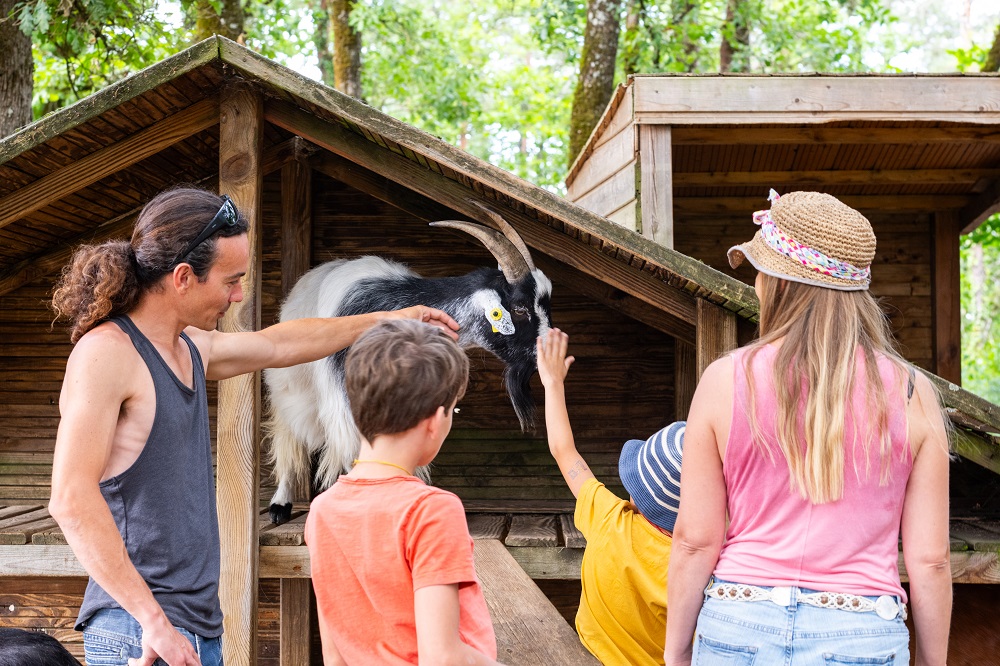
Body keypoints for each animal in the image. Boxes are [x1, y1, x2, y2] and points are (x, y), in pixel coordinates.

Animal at [262, 208, 552, 524]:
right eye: (520, 308)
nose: (550, 351)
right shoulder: (345, 406)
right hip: (291, 388)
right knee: (288, 436)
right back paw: (280, 504)